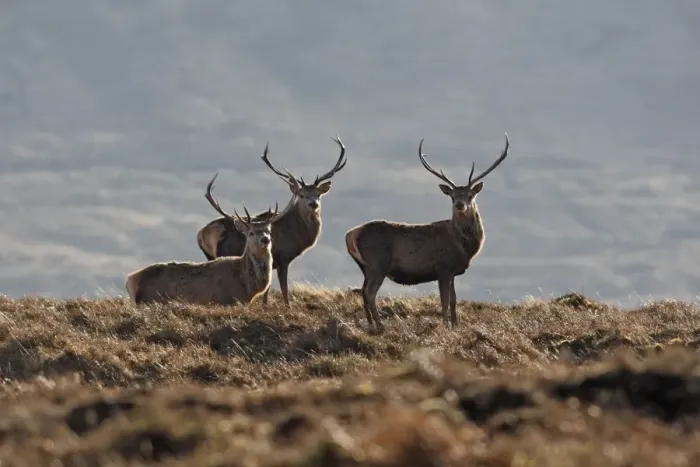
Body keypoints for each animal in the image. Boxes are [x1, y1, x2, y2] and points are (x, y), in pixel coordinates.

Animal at [125, 173, 298, 306]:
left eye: (269, 230)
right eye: (251, 233)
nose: (265, 240)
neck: (246, 285)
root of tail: (131, 280)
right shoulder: (228, 300)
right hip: (151, 299)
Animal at [196, 136, 347, 307]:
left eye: (318, 194)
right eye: (301, 194)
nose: (313, 204)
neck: (295, 236)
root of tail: (202, 234)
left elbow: (267, 290)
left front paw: (265, 305)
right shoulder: (283, 257)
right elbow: (284, 288)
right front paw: (287, 307)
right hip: (225, 252)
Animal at [345, 133, 510, 332]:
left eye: (470, 195)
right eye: (452, 196)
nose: (459, 205)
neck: (465, 247)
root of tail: (351, 234)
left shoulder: (452, 271)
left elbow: (454, 300)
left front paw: (456, 325)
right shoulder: (443, 267)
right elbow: (444, 301)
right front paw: (446, 326)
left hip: (365, 268)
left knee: (362, 291)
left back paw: (370, 324)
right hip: (378, 264)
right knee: (369, 293)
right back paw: (381, 325)